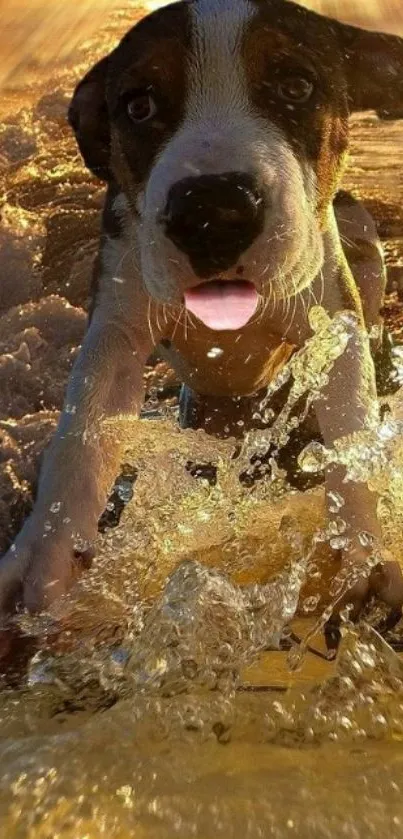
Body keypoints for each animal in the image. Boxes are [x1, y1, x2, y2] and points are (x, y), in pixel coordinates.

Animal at [0, 1, 403, 624]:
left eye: (296, 86)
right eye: (138, 106)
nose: (213, 210)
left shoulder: (331, 319)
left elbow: (349, 427)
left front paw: (359, 549)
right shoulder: (117, 320)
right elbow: (83, 430)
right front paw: (47, 552)